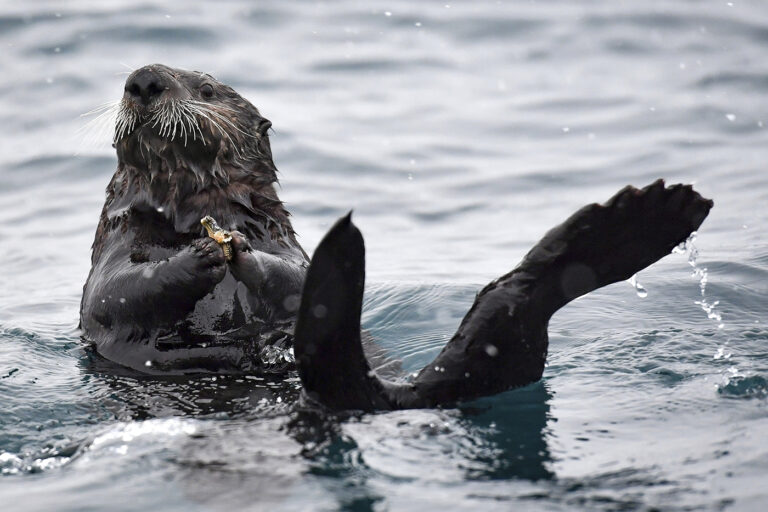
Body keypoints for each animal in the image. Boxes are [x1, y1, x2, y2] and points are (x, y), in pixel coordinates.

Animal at [81, 64, 713, 410]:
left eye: (207, 91)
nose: (144, 80)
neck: (194, 210)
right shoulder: (114, 249)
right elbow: (113, 296)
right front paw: (197, 258)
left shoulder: (287, 245)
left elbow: (293, 277)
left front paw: (241, 254)